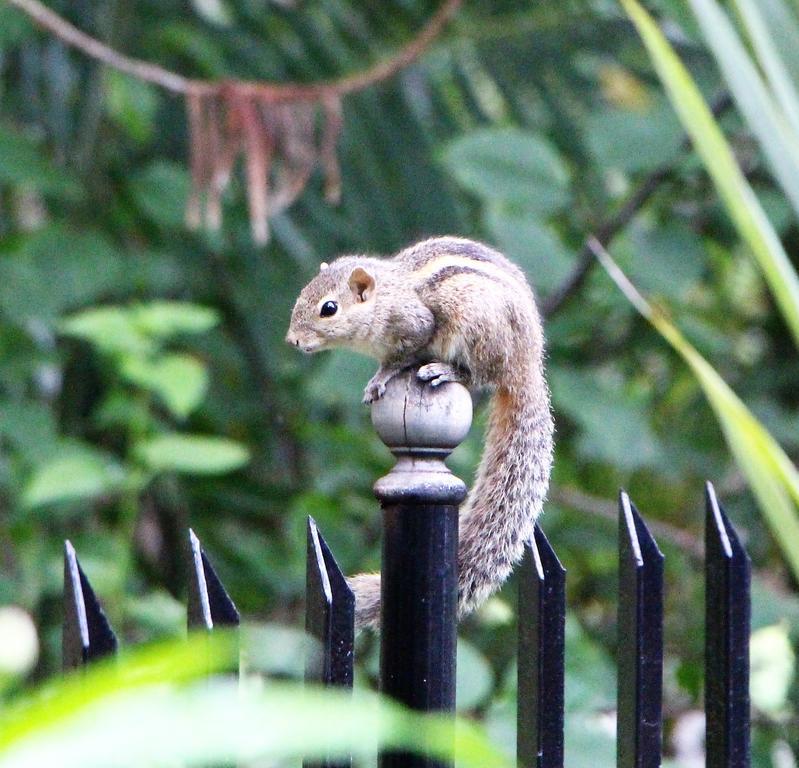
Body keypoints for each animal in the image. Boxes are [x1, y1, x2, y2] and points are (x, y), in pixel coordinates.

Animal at [288, 236, 556, 632]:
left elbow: (401, 357)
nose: (292, 340)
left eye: (329, 309)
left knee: (480, 374)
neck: (386, 294)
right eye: (303, 293)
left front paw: (380, 377)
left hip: (475, 324)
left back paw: (443, 371)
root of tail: (529, 360)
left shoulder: (416, 325)